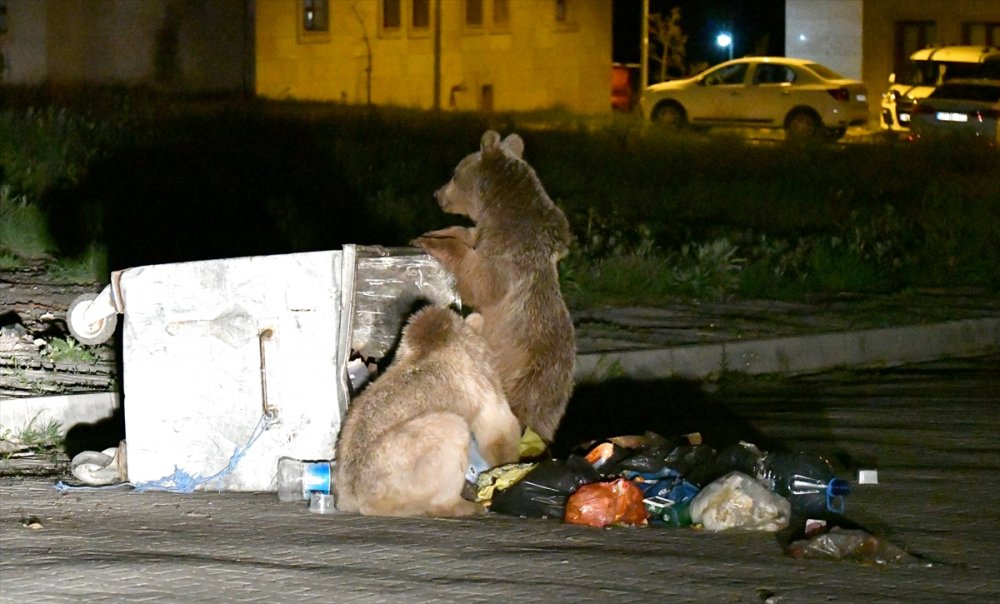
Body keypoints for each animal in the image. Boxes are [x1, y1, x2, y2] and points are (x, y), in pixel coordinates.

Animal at [410, 131, 576, 444]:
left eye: (454, 172)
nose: (437, 194)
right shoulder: (486, 235)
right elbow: (464, 233)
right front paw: (427, 234)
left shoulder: (513, 257)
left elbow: (481, 282)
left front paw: (433, 244)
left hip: (533, 379)